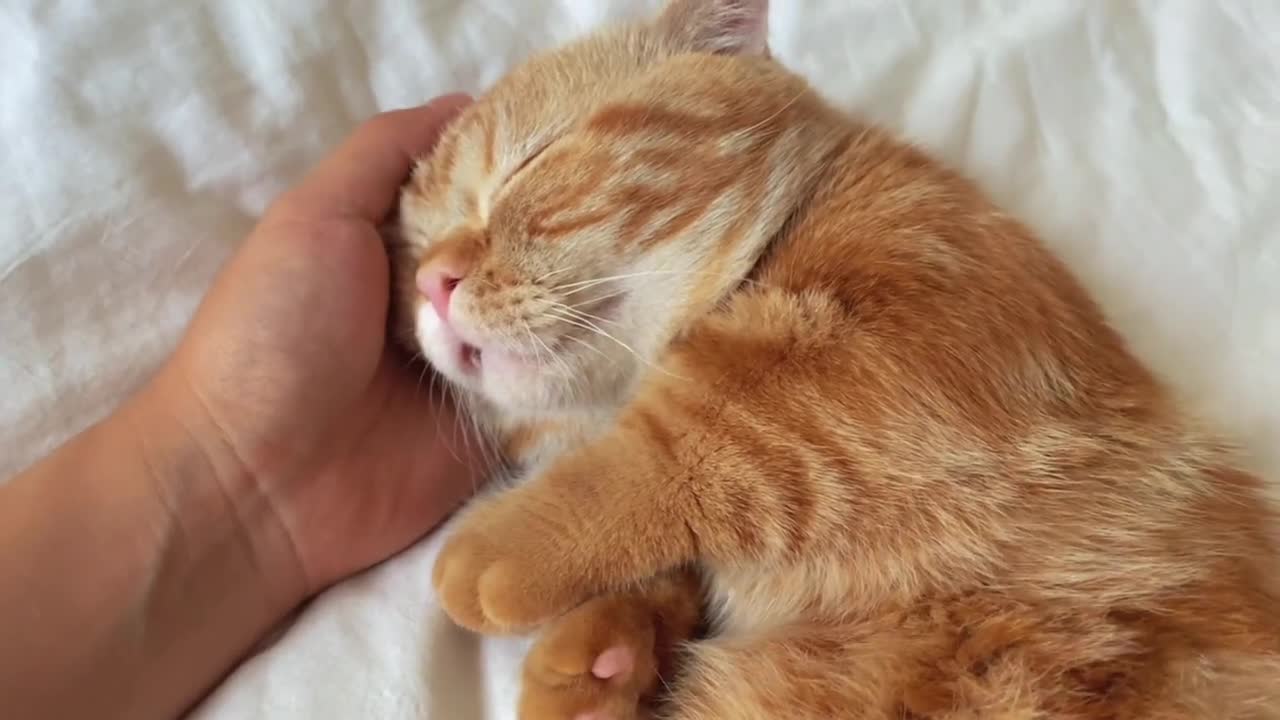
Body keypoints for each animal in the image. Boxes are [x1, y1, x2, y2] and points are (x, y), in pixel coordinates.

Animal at [389, 1, 1280, 717]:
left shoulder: (899, 343)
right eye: (416, 248)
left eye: (531, 163)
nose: (433, 282)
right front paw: (600, 657)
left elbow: (686, 438)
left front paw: (499, 551)